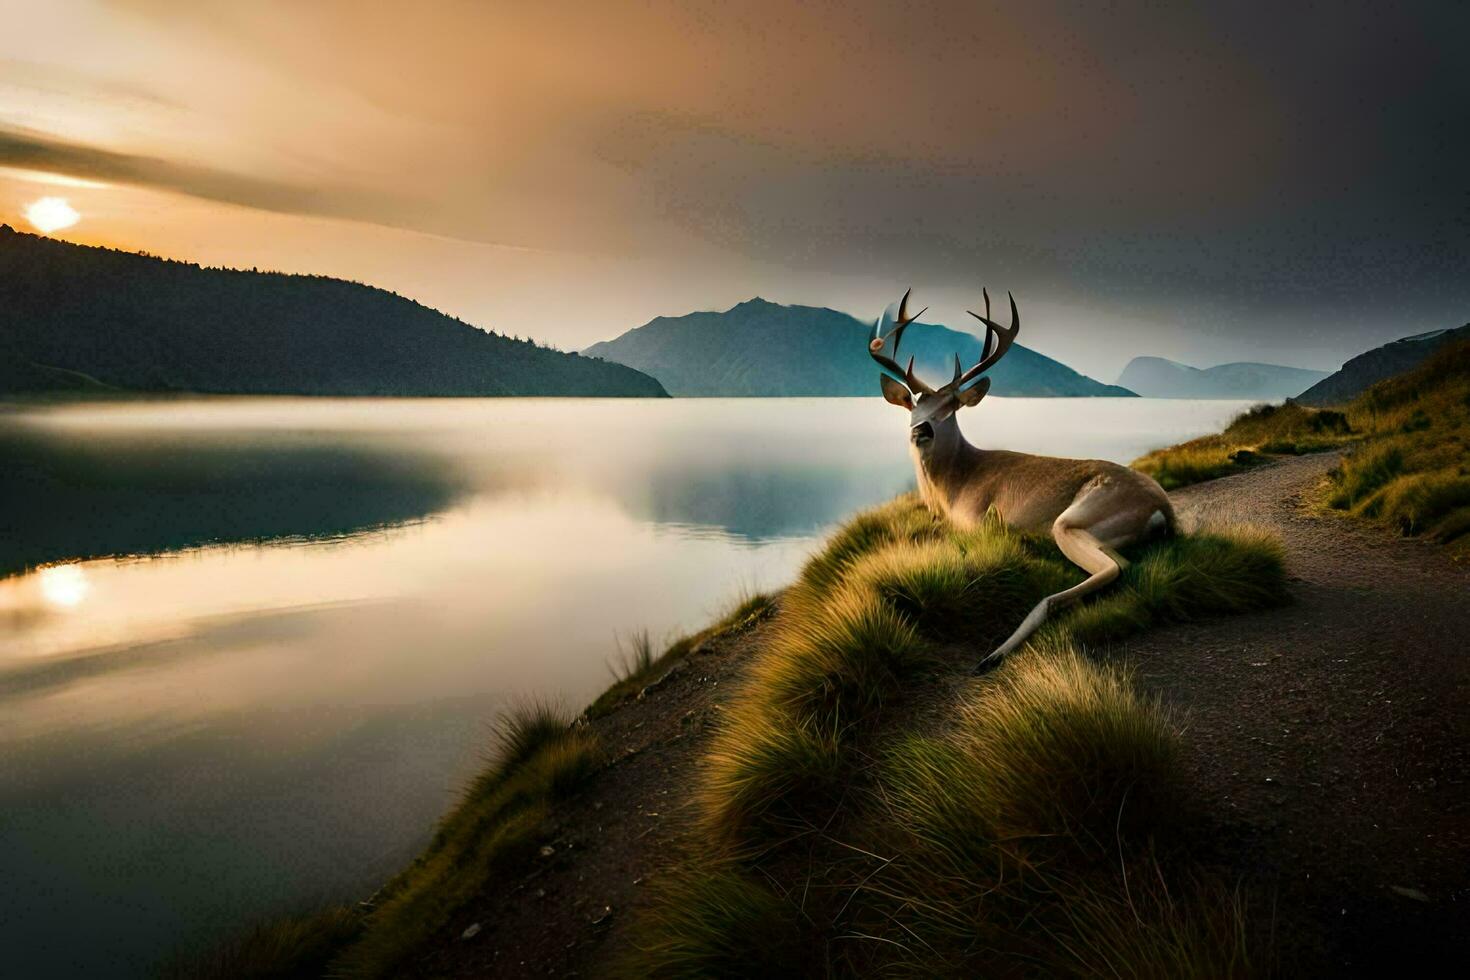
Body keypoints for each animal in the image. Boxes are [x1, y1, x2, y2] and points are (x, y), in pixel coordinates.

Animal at [870, 285, 1170, 675]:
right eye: (913, 407)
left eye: (950, 408)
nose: (921, 430)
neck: (953, 488)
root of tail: (1161, 508)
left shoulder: (977, 522)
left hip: (1080, 515)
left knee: (1114, 569)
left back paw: (994, 654)